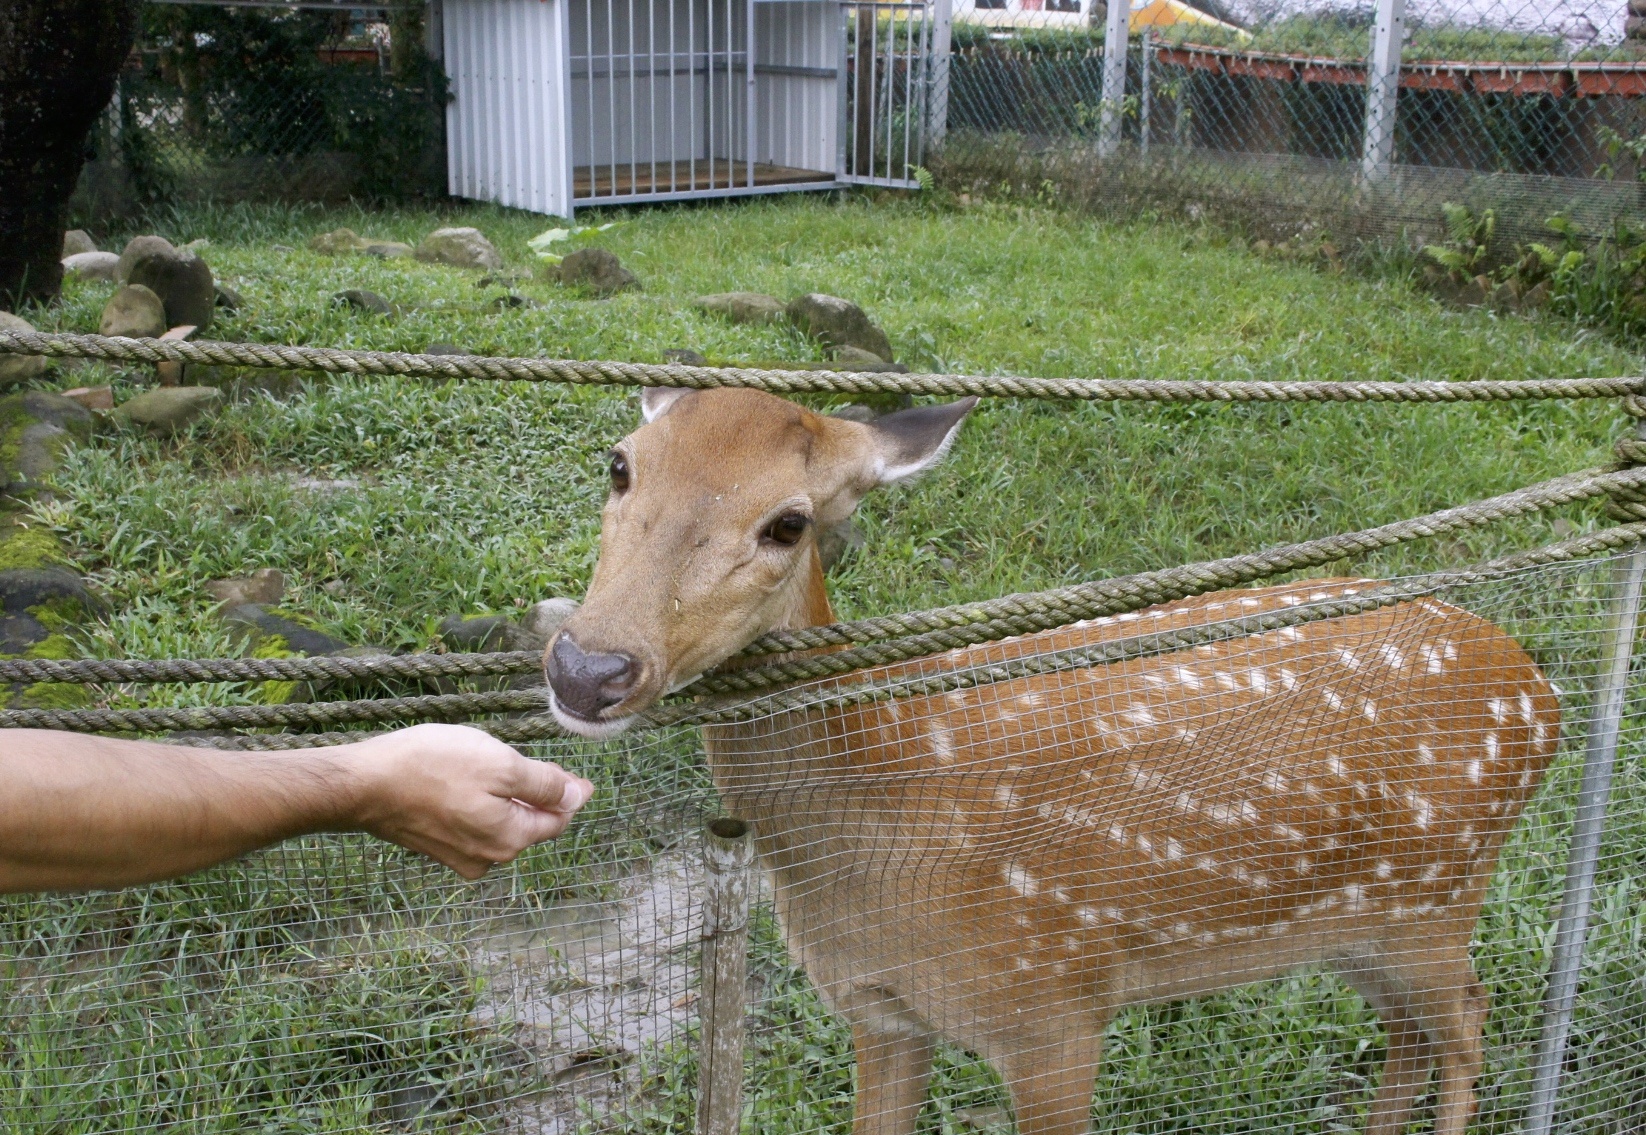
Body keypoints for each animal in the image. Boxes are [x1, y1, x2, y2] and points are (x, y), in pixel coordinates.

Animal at [546, 386, 1560, 1131]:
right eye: (620, 464)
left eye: (788, 523)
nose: (588, 668)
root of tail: (1542, 691)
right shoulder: (878, 1008)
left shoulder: (1055, 1012)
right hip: (1357, 925)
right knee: (1413, 1033)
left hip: (1437, 897)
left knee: (1469, 1020)